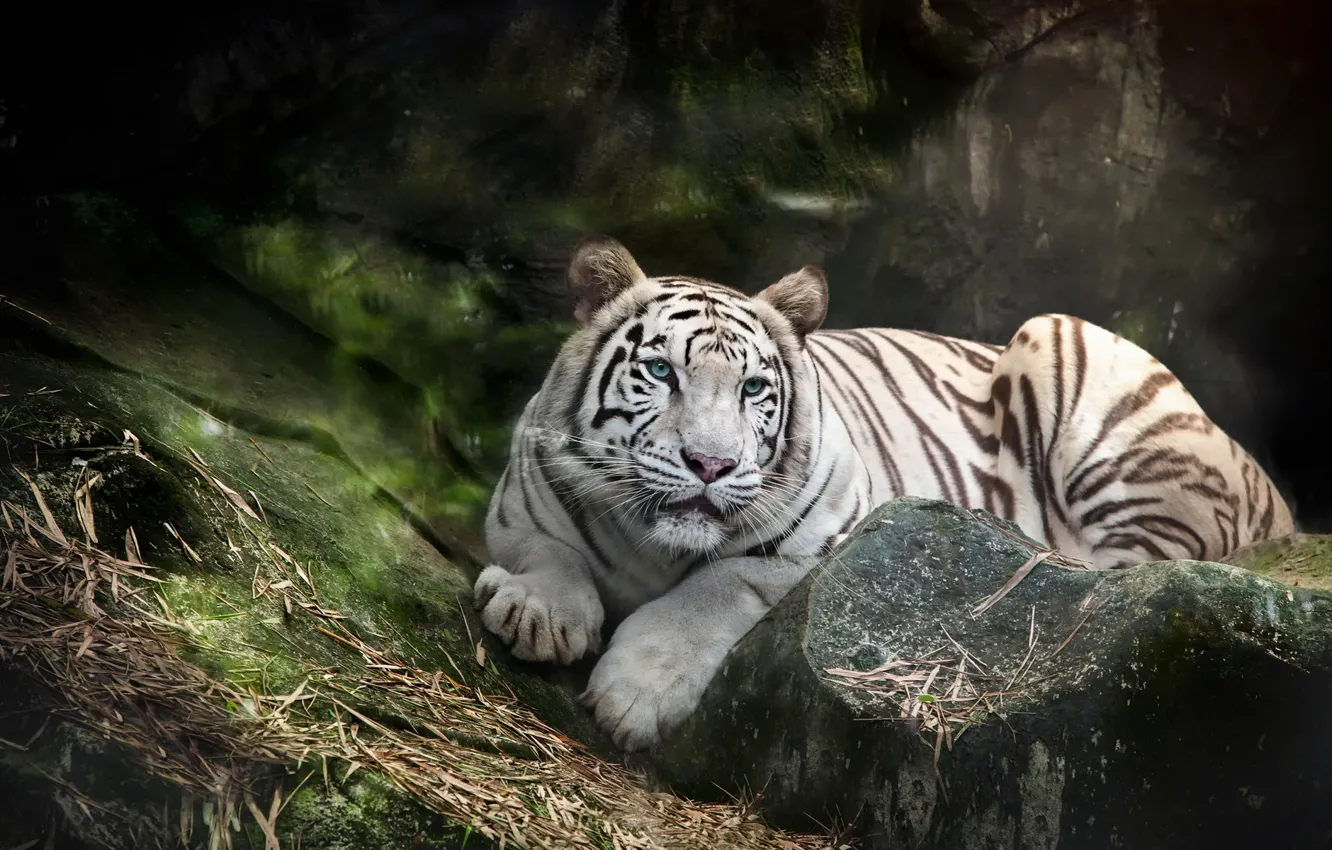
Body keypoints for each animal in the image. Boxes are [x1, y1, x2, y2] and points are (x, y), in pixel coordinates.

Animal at [472, 235, 1294, 752]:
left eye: (753, 389)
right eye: (661, 372)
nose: (710, 464)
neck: (655, 544)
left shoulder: (822, 536)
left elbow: (717, 587)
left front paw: (635, 695)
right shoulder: (520, 498)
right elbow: (546, 550)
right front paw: (537, 612)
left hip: (1075, 355)